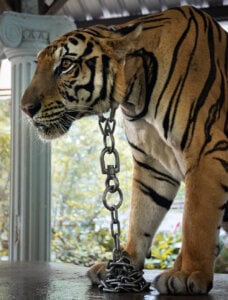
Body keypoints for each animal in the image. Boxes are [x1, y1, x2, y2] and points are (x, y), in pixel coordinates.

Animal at [20, 4, 228, 296]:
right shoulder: (153, 164)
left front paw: (188, 274)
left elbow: (196, 221)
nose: (25, 109)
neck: (136, 96)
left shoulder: (205, 150)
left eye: (65, 65)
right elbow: (141, 214)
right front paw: (124, 261)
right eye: (38, 64)